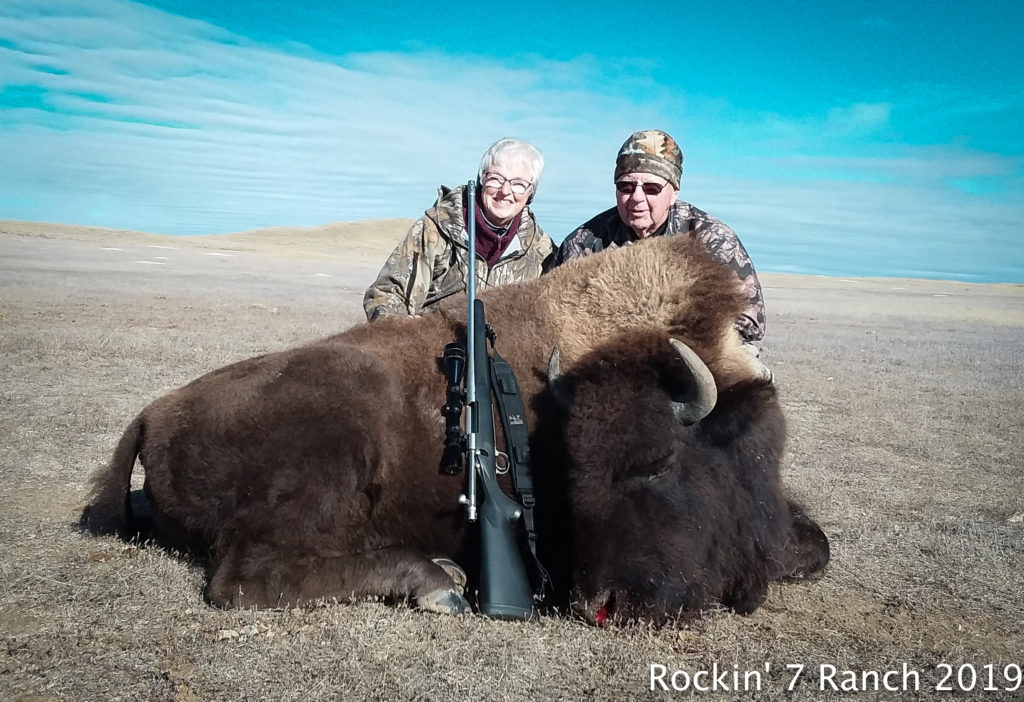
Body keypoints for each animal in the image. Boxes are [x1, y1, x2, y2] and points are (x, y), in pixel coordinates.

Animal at [81, 233, 831, 626]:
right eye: (576, 471)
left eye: (656, 464)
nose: (601, 604)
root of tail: (155, 411)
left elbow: (817, 545)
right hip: (330, 454)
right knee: (245, 579)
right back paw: (435, 580)